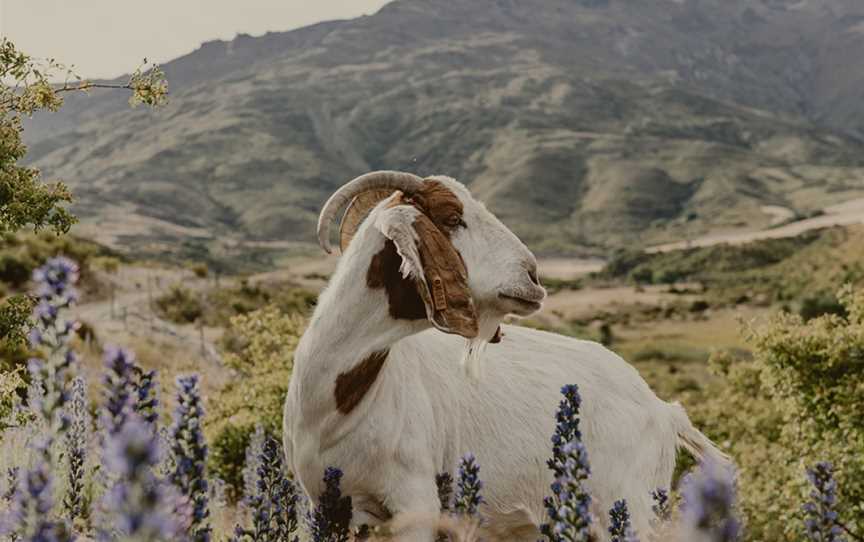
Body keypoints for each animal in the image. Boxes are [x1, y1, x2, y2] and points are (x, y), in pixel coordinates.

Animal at [282, 172, 724, 540]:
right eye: (452, 217)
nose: (533, 277)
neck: (337, 408)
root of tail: (662, 409)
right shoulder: (320, 506)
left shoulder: (415, 503)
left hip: (628, 505)